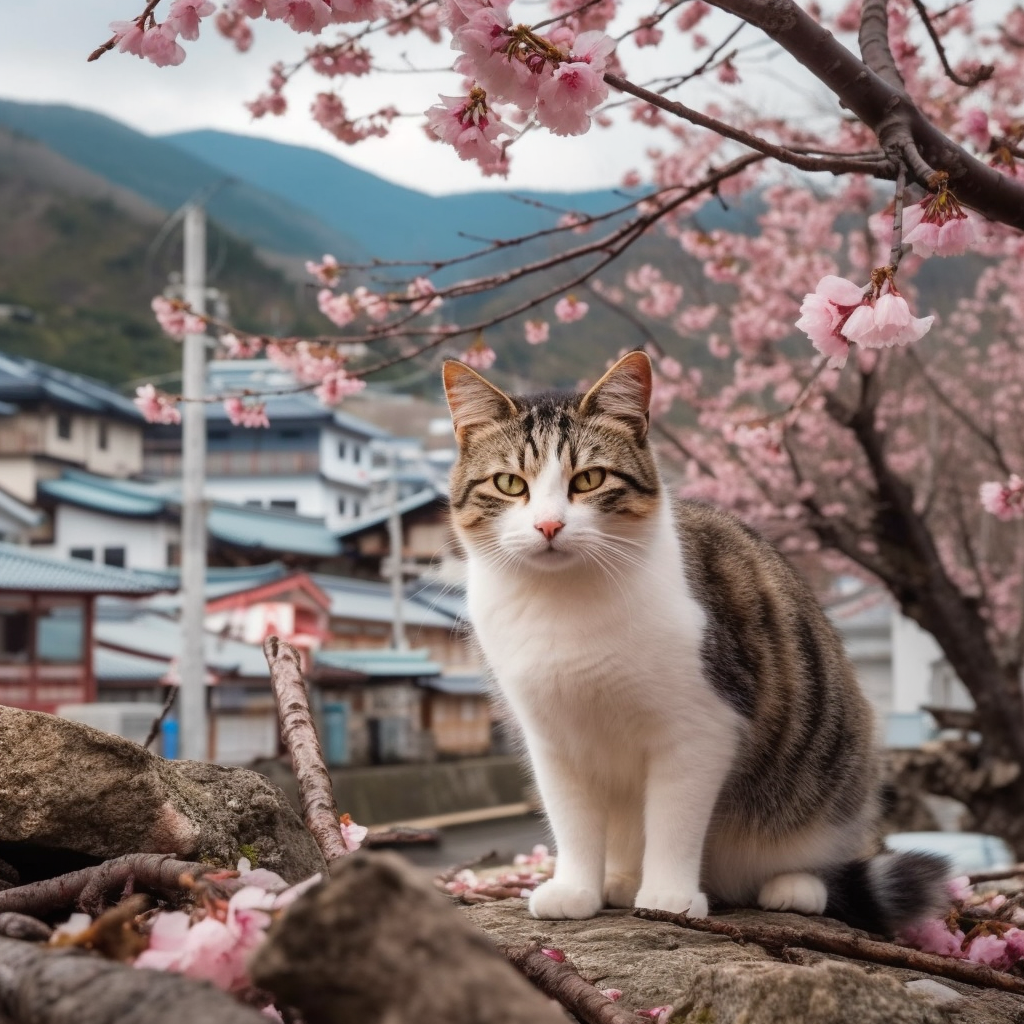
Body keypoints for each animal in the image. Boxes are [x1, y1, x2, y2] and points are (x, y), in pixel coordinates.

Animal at [444, 348, 946, 933]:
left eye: (589, 479)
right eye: (509, 484)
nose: (548, 526)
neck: (562, 604)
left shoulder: (701, 725)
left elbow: (674, 821)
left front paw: (669, 898)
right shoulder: (552, 737)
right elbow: (573, 822)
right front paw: (576, 890)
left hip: (837, 773)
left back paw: (794, 886)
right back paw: (620, 881)